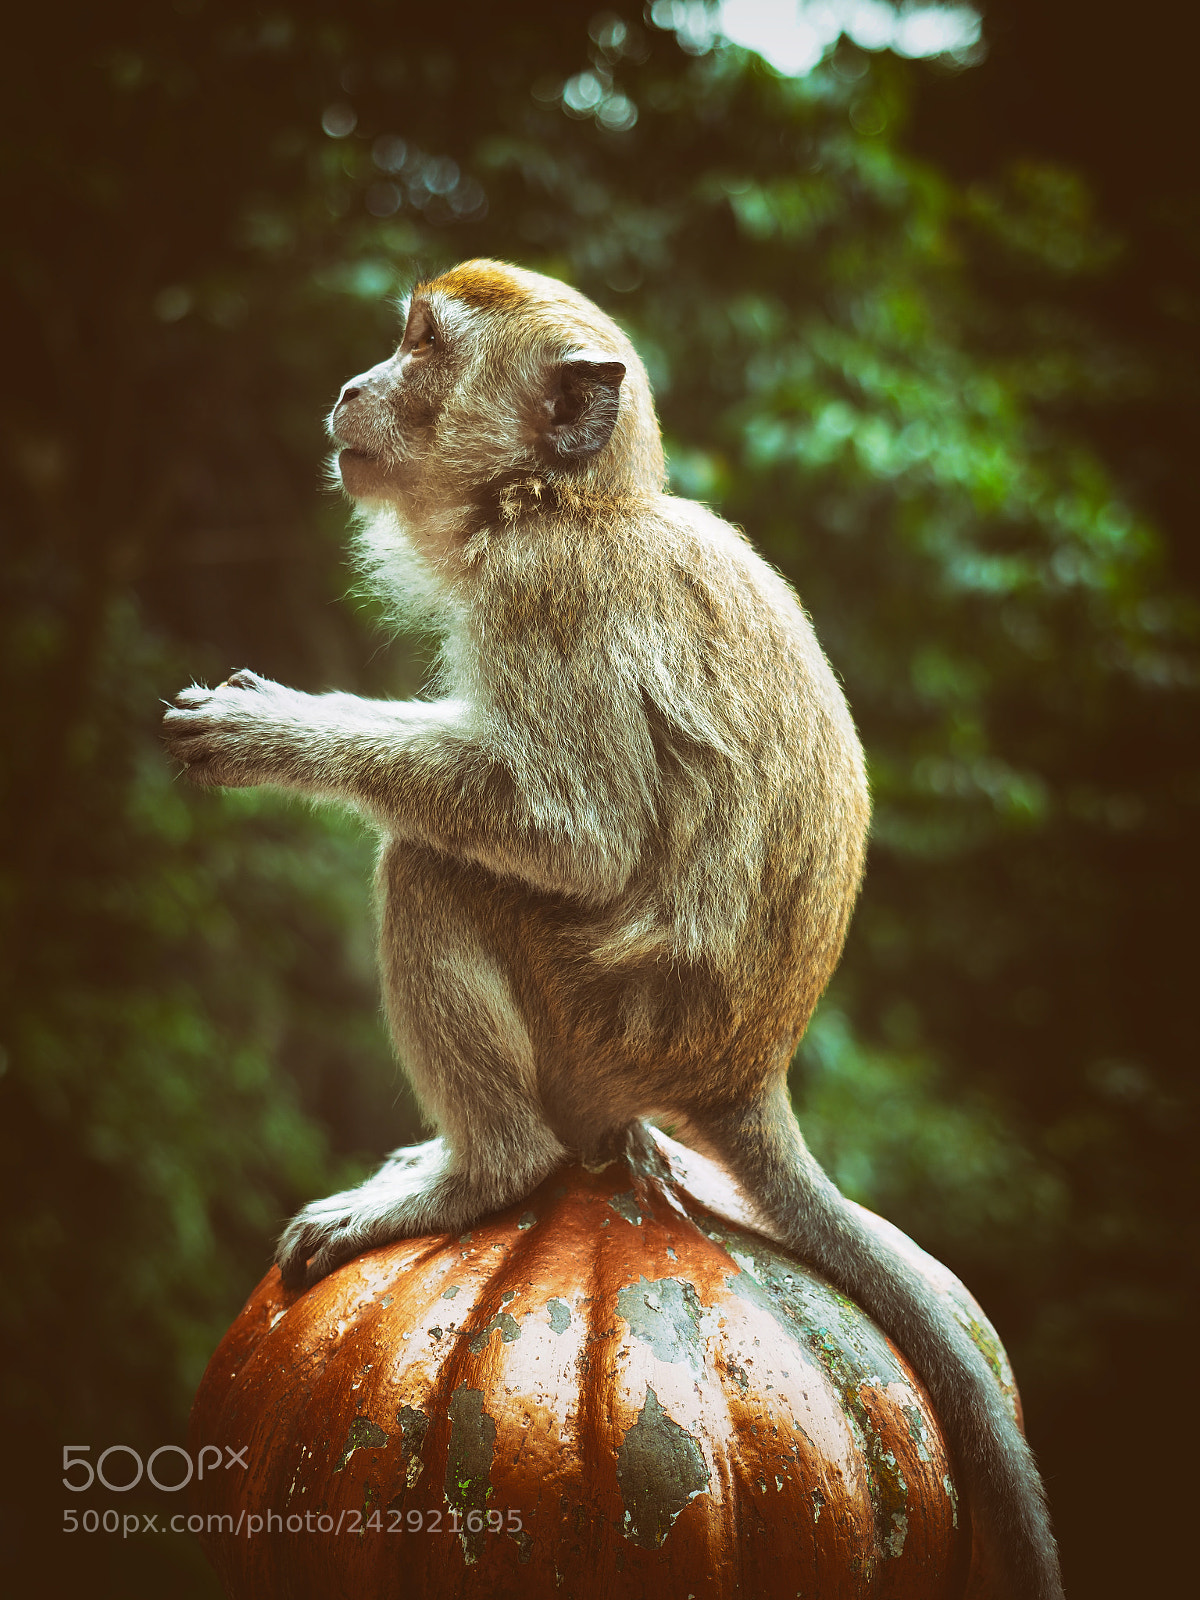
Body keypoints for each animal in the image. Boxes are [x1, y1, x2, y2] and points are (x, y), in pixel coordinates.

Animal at [162, 259, 1062, 1598]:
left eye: (424, 347)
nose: (354, 385)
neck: (567, 502)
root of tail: (748, 1072)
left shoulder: (549, 599)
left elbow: (568, 831)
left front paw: (281, 733)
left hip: (600, 1016)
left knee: (433, 867)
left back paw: (485, 1170)